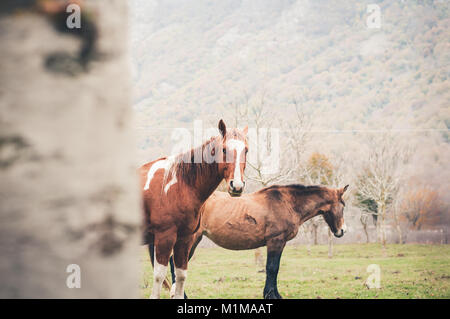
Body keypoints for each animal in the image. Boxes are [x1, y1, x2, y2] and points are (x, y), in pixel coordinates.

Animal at [141, 120, 248, 300]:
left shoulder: (184, 239)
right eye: (224, 149)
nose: (237, 186)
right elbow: (159, 276)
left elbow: (180, 276)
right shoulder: (164, 238)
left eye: (246, 150)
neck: (178, 184)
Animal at [169, 184, 348, 298]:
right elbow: (272, 268)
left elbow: (274, 269)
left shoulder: (279, 243)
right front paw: (271, 295)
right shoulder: (275, 241)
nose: (342, 231)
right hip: (191, 239)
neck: (287, 203)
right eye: (343, 205)